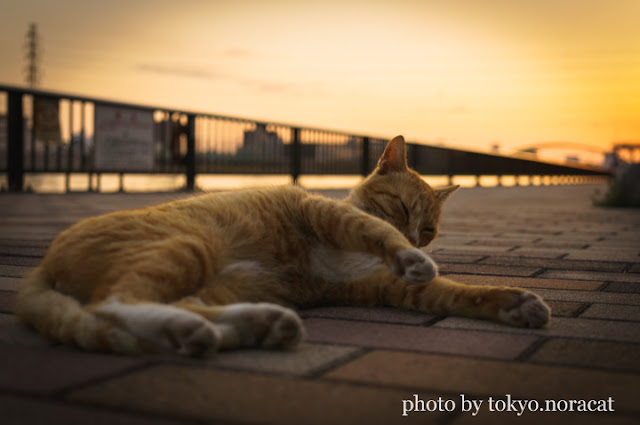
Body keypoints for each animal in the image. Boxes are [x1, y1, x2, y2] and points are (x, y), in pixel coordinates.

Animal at [15, 136, 552, 354]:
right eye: (403, 209)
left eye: (431, 229)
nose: (417, 240)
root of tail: (40, 266)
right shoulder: (326, 215)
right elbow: (372, 231)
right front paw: (408, 254)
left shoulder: (381, 286)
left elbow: (458, 293)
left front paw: (516, 305)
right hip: (185, 247)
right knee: (115, 302)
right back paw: (215, 329)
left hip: (219, 283)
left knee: (161, 310)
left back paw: (253, 326)